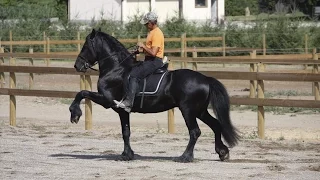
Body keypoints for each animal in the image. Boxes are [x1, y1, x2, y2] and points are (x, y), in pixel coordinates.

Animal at [70, 28, 240, 162]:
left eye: (85, 46)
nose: (77, 65)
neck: (116, 69)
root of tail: (205, 79)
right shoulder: (122, 111)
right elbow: (126, 132)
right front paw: (127, 155)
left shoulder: (107, 100)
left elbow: (82, 93)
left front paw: (75, 114)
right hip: (200, 111)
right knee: (216, 125)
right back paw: (222, 152)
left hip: (188, 110)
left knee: (195, 131)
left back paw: (185, 157)